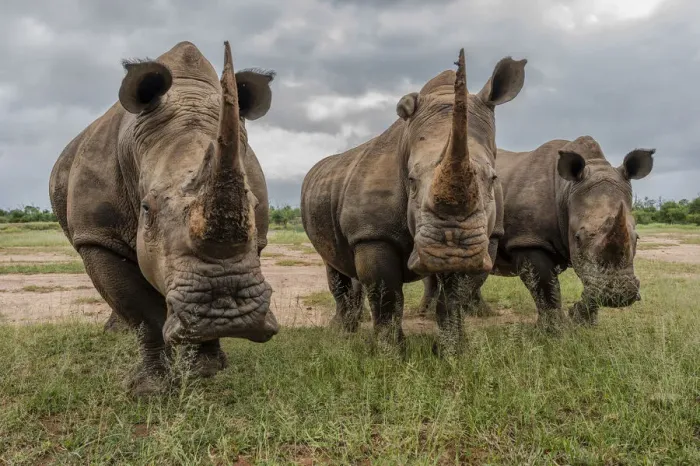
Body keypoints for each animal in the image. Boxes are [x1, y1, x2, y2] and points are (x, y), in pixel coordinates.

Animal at [49, 41, 279, 395]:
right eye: (147, 209)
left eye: (252, 205)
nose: (227, 314)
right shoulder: (98, 235)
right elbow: (143, 313)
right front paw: (149, 389)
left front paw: (206, 369)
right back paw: (117, 334)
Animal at [301, 50, 526, 354]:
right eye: (411, 180)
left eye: (492, 178)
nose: (450, 249)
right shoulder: (372, 234)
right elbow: (386, 295)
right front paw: (390, 354)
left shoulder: (483, 239)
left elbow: (454, 296)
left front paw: (452, 352)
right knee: (334, 266)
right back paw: (342, 332)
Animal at [419, 136, 654, 328]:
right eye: (578, 237)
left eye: (636, 238)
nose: (620, 296)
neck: (566, 190)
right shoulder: (529, 240)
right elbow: (545, 287)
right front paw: (555, 333)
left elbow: (592, 279)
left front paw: (581, 320)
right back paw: (427, 315)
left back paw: (480, 313)